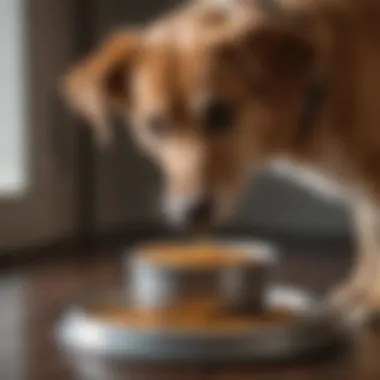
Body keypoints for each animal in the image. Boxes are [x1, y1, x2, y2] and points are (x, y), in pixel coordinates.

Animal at [63, 0, 380, 324]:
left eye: (222, 113)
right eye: (155, 126)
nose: (189, 213)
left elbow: (373, 238)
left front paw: (370, 299)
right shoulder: (364, 191)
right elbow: (367, 237)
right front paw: (359, 291)